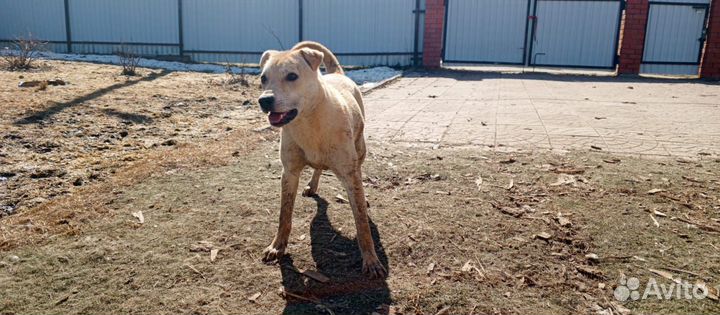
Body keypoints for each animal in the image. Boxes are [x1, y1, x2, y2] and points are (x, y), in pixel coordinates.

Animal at [256, 40, 386, 278]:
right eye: (263, 78)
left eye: (292, 76)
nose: (265, 100)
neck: (308, 121)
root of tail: (337, 73)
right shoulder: (289, 173)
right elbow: (284, 215)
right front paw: (277, 246)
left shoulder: (350, 174)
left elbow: (361, 222)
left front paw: (371, 260)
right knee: (318, 169)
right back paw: (312, 185)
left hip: (360, 149)